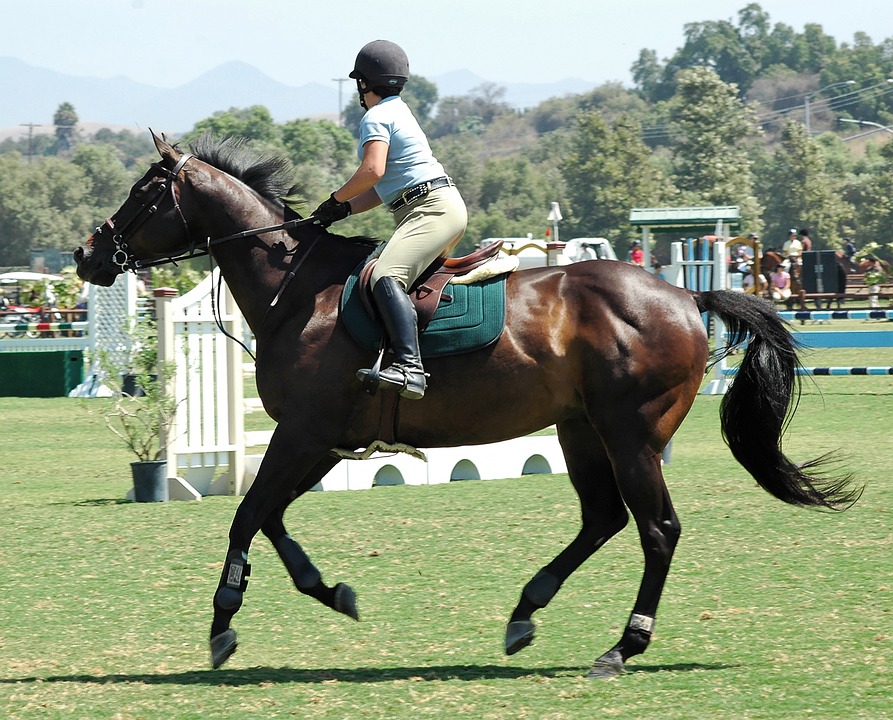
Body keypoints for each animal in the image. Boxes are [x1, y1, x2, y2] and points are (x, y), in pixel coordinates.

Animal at [75, 132, 856, 676]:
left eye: (144, 193)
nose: (88, 255)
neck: (294, 290)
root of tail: (684, 295)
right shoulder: (321, 440)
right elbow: (270, 518)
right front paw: (331, 591)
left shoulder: (301, 433)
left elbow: (246, 516)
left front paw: (222, 625)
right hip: (580, 429)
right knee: (602, 519)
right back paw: (524, 613)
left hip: (630, 433)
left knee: (656, 529)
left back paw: (621, 646)